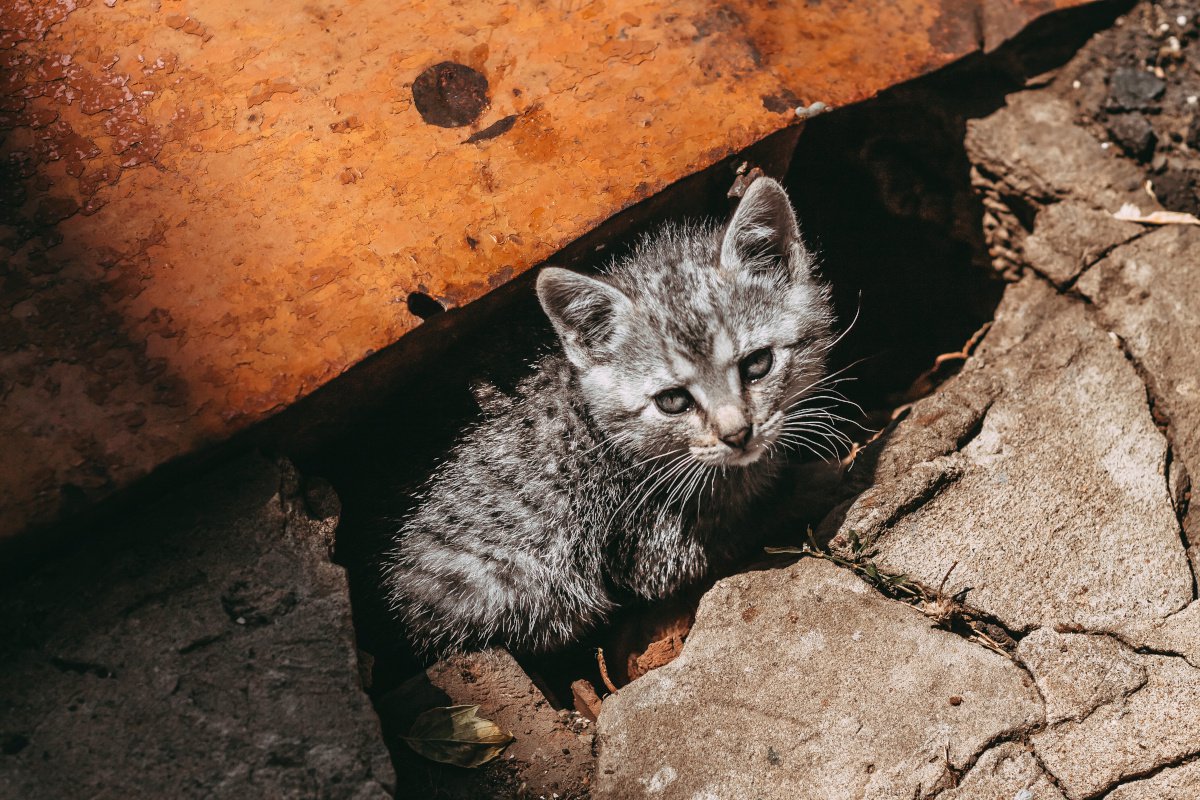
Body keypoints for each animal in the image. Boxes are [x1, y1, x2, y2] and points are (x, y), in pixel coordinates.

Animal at [384, 179, 835, 657]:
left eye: (758, 364)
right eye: (672, 401)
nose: (738, 434)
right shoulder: (651, 546)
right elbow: (750, 525)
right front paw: (815, 482)